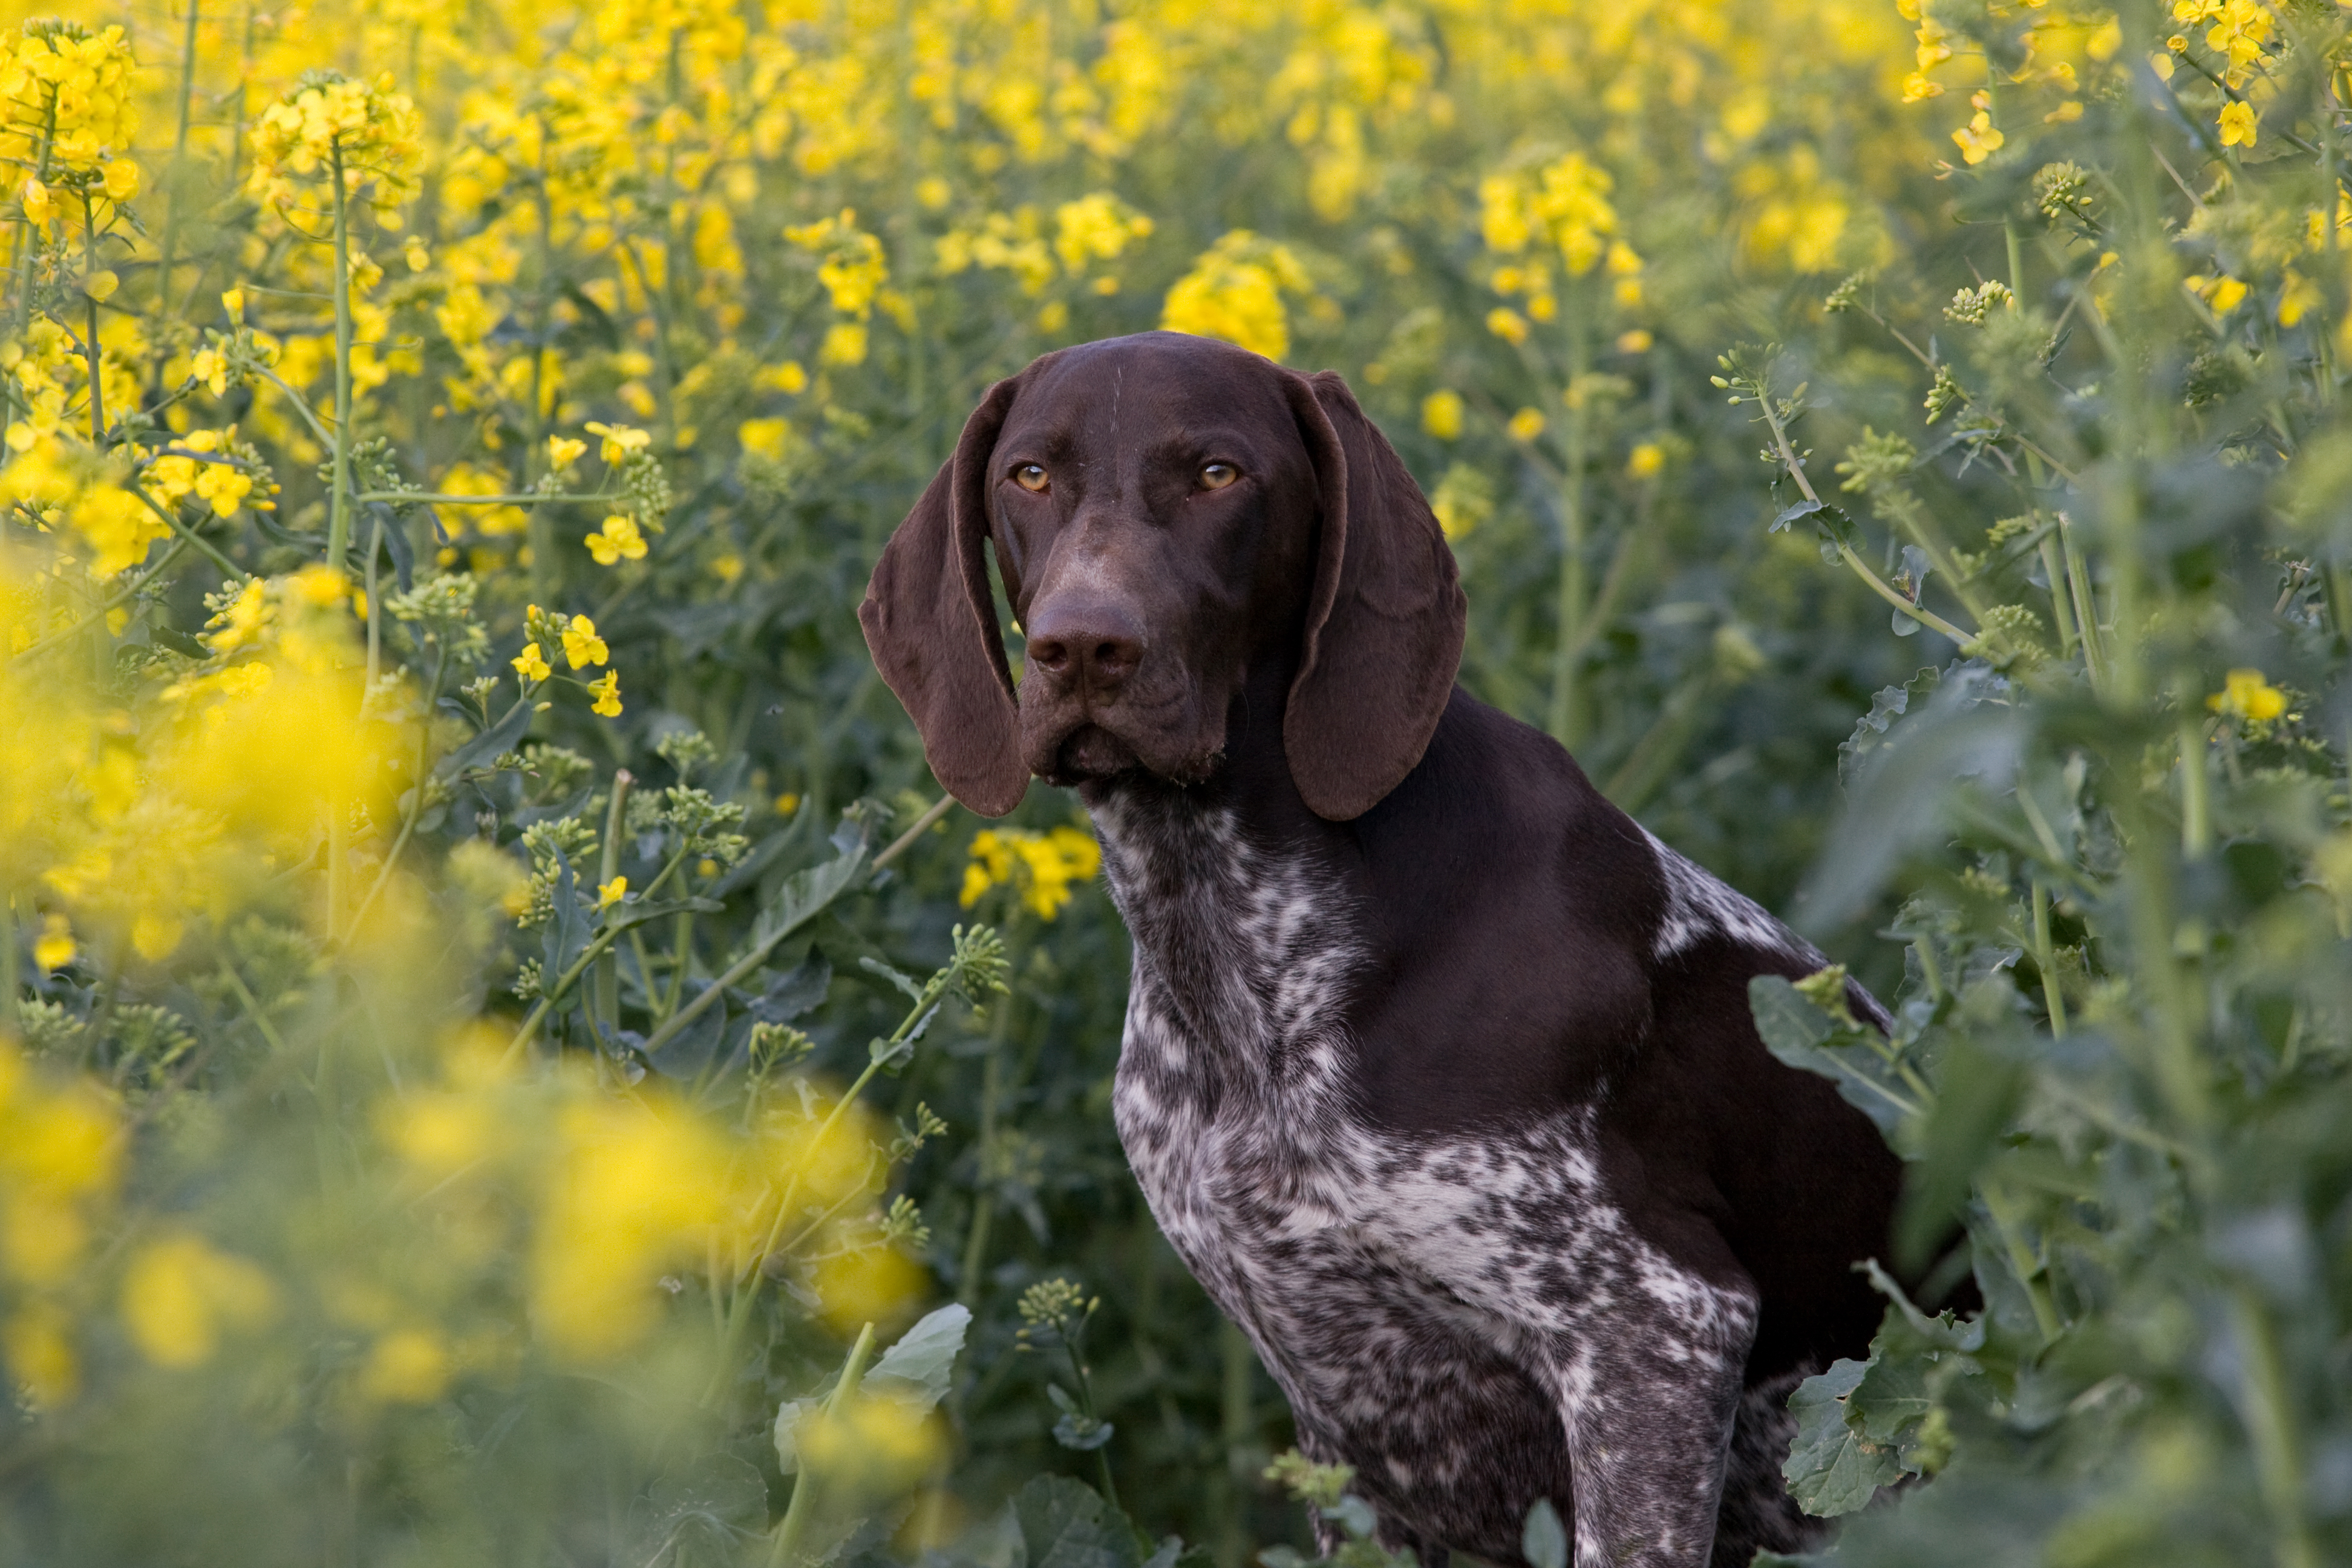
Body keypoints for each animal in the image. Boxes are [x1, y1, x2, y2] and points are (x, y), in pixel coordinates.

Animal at [865, 333, 1910, 1568]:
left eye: (1218, 474)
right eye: (1029, 475)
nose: (1082, 646)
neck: (1236, 937)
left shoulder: (1657, 1332)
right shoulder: (1349, 1421)